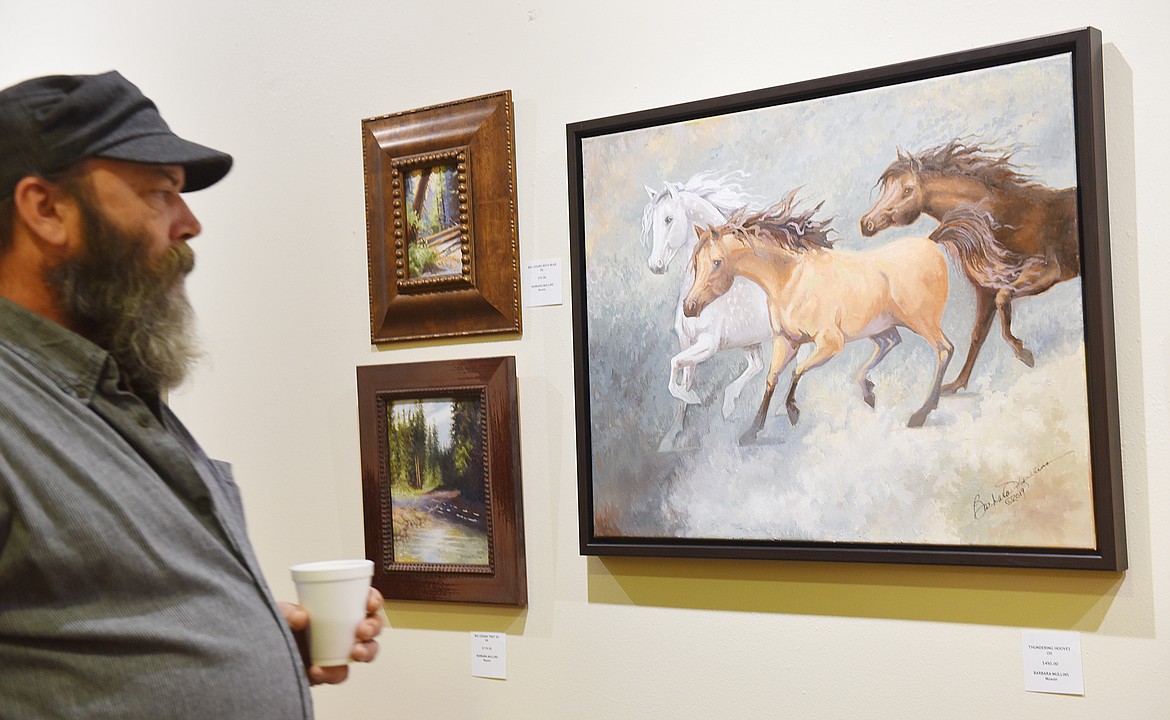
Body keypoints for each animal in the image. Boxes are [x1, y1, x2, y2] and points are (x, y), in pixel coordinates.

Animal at [641, 170, 776, 447]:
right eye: (652, 223)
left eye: (669, 219)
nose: (655, 265)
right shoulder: (687, 342)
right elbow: (681, 381)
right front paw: (671, 437)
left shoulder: (707, 344)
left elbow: (674, 366)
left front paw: (694, 399)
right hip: (750, 342)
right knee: (757, 365)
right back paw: (730, 405)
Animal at [683, 194, 950, 447]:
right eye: (696, 263)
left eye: (716, 262)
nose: (689, 307)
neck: (791, 278)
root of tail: (931, 244)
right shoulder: (785, 340)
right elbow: (771, 379)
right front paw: (751, 432)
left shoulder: (830, 343)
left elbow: (797, 370)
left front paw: (792, 410)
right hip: (881, 326)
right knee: (891, 342)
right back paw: (868, 393)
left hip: (922, 322)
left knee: (944, 350)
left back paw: (920, 414)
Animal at [861, 139, 1076, 393]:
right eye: (886, 188)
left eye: (907, 190)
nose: (866, 224)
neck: (1005, 218)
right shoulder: (984, 291)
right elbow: (978, 334)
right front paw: (956, 385)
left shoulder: (1047, 272)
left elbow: (1003, 299)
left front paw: (1023, 352)